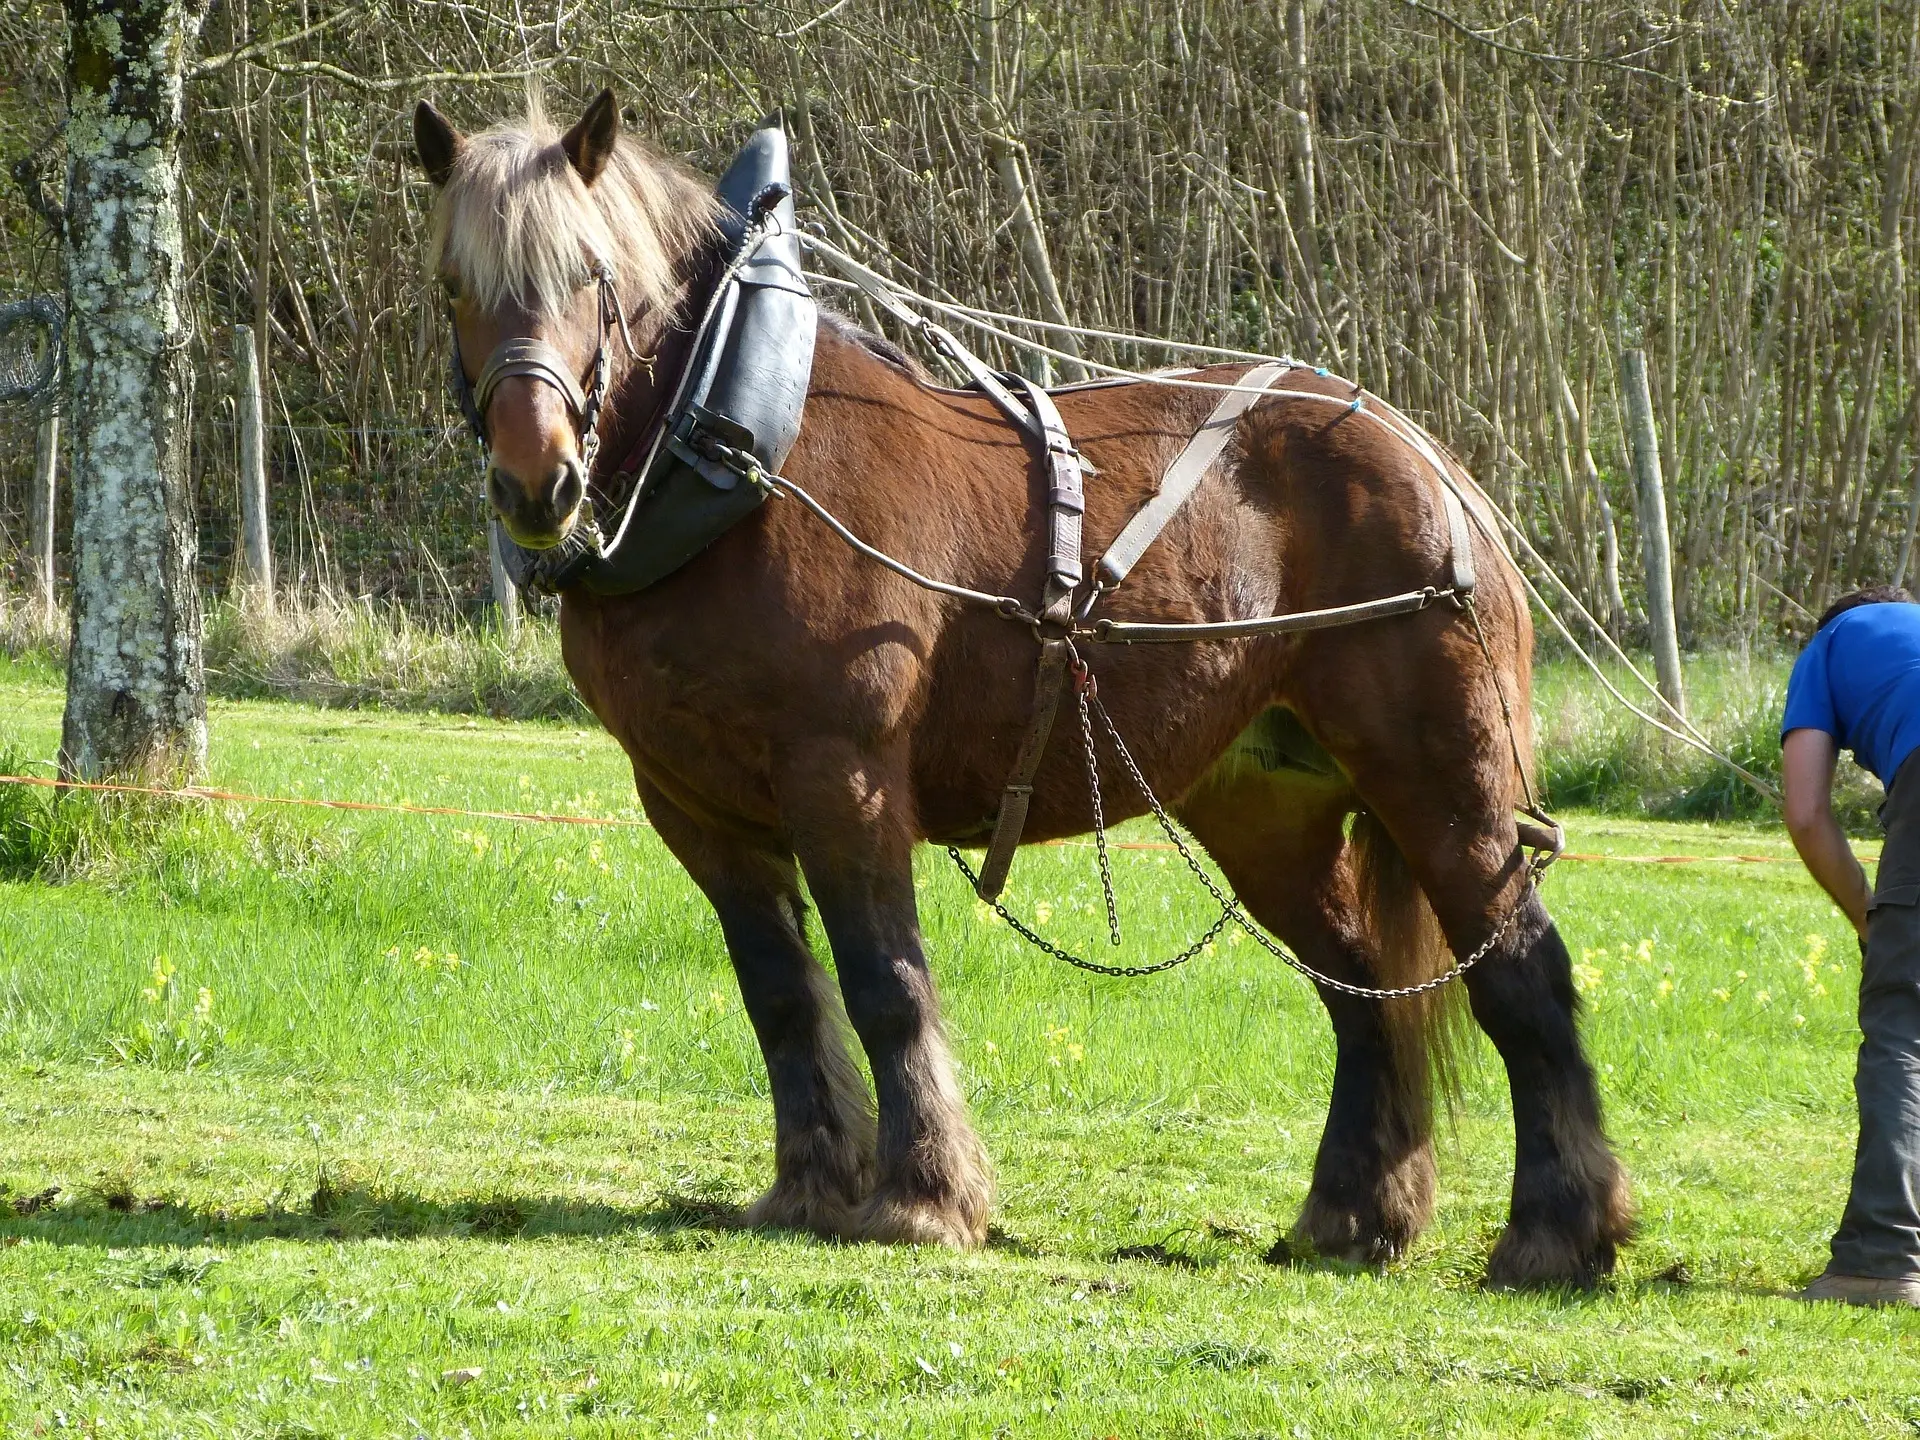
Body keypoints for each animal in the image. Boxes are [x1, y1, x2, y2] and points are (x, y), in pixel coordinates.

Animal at [412, 87, 1628, 1282]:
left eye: (590, 275)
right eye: (453, 285)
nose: (537, 481)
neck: (743, 455)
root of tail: (1430, 460)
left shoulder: (844, 781)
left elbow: (885, 984)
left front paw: (922, 1199)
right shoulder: (693, 806)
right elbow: (780, 995)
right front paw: (811, 1188)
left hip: (1444, 781)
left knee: (1522, 971)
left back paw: (1556, 1230)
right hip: (1266, 809)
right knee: (1361, 991)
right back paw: (1354, 1216)